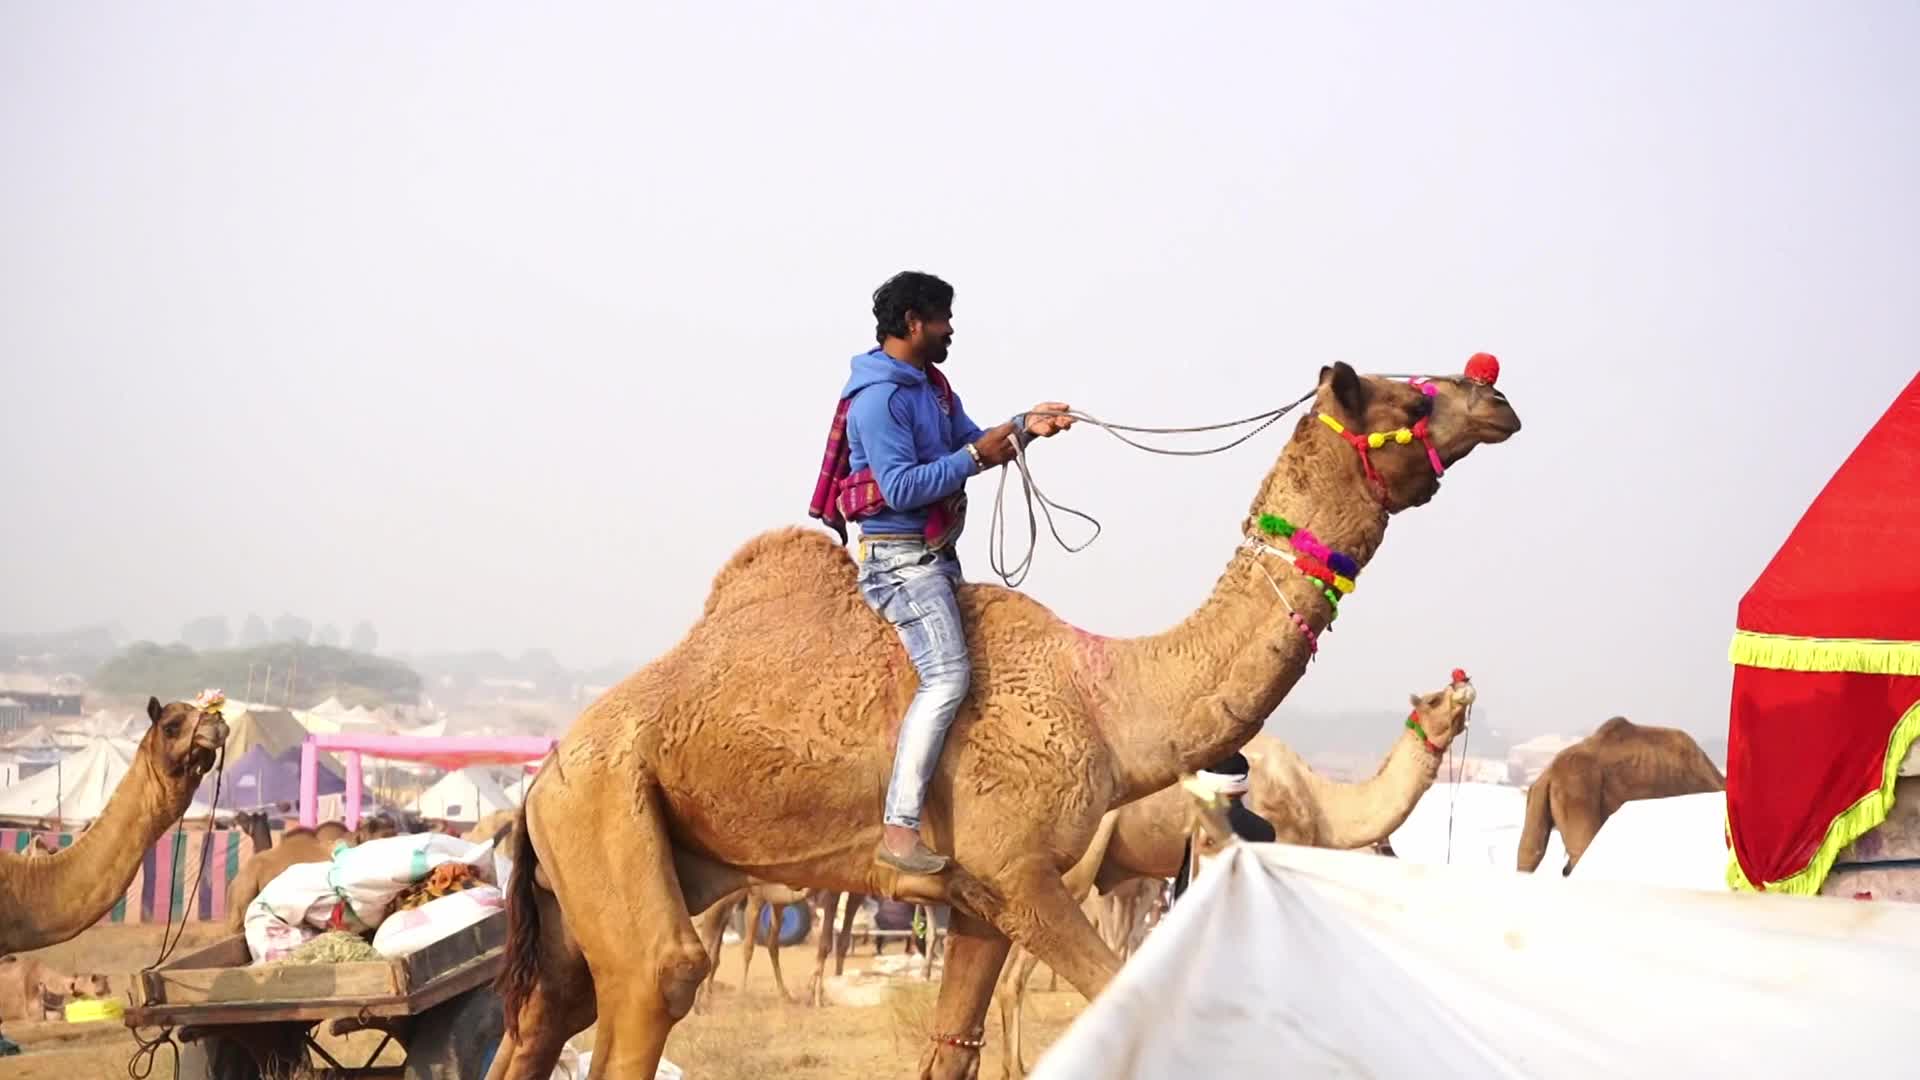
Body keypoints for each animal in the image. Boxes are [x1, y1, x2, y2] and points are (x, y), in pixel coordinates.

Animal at [995, 674, 1477, 1078]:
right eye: (1434, 699)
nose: (1464, 684)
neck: (1321, 802)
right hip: (1071, 866)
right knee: (1022, 969)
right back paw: (1020, 1067)